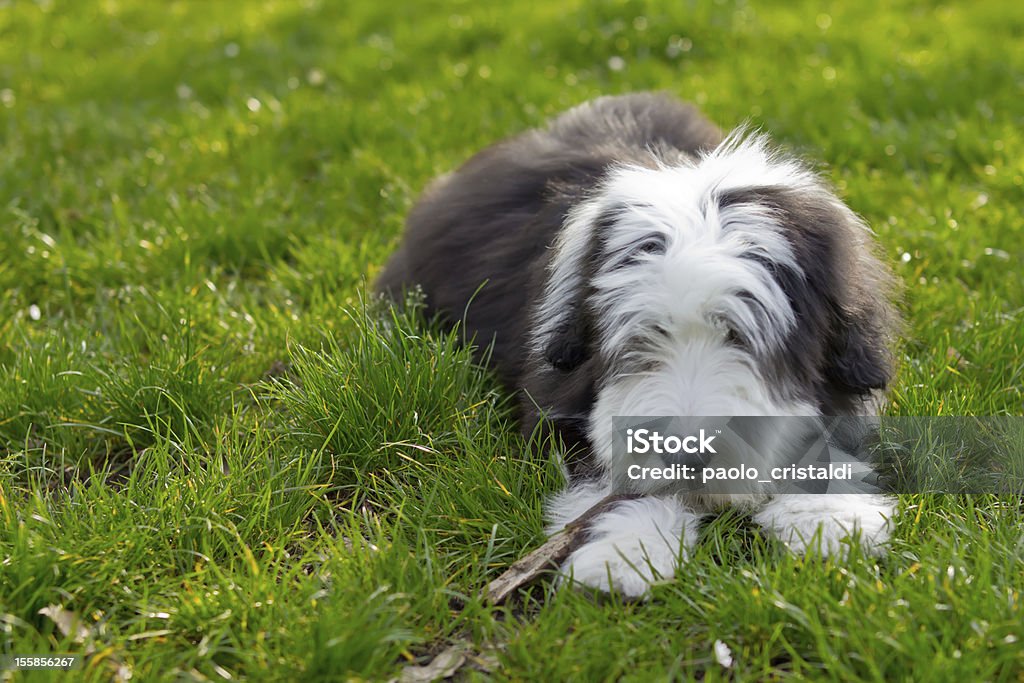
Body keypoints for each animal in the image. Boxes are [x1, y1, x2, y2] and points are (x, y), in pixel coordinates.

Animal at [376, 92, 897, 598]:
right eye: (645, 335)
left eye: (739, 335)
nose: (686, 454)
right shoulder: (560, 401)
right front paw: (622, 557)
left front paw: (828, 521)